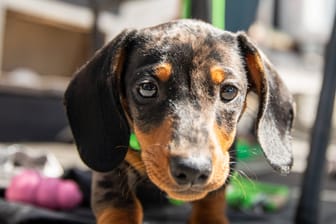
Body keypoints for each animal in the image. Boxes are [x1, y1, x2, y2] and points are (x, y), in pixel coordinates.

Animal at [65, 19, 294, 224]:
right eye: (147, 88)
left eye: (229, 91)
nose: (193, 169)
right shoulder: (111, 172)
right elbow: (120, 205)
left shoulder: (226, 164)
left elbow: (212, 201)